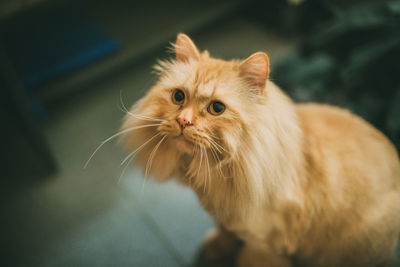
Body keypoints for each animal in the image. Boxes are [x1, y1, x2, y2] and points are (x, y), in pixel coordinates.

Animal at [122, 34, 400, 267]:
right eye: (178, 97)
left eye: (216, 108)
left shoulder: (264, 242)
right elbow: (224, 230)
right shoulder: (224, 216)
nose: (183, 121)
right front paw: (216, 246)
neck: (217, 169)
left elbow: (251, 256)